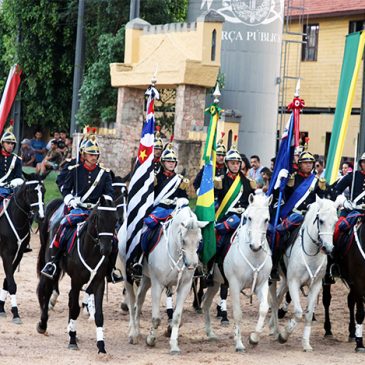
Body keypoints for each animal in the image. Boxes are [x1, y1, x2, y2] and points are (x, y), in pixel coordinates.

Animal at [118, 198, 206, 352]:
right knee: (132, 302)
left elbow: (176, 317)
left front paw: (174, 345)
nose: (191, 265)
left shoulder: (184, 285)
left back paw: (137, 331)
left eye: (200, 240)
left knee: (139, 301)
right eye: (183, 240)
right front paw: (151, 339)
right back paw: (133, 334)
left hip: (146, 279)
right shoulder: (157, 284)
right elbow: (156, 318)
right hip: (127, 275)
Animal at [202, 192, 272, 352]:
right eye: (249, 217)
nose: (255, 246)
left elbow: (264, 308)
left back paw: (210, 333)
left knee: (205, 303)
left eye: (266, 219)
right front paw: (239, 344)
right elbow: (238, 313)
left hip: (214, 283)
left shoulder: (262, 284)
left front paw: (254, 338)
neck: (253, 256)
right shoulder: (234, 285)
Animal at [268, 195, 338, 352]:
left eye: (336, 221)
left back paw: (273, 328)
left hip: (285, 281)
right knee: (273, 301)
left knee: (278, 298)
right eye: (321, 220)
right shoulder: (294, 282)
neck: (311, 253)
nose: (328, 248)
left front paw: (306, 343)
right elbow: (299, 312)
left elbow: (308, 314)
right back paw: (274, 330)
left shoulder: (316, 285)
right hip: (274, 279)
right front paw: (284, 335)